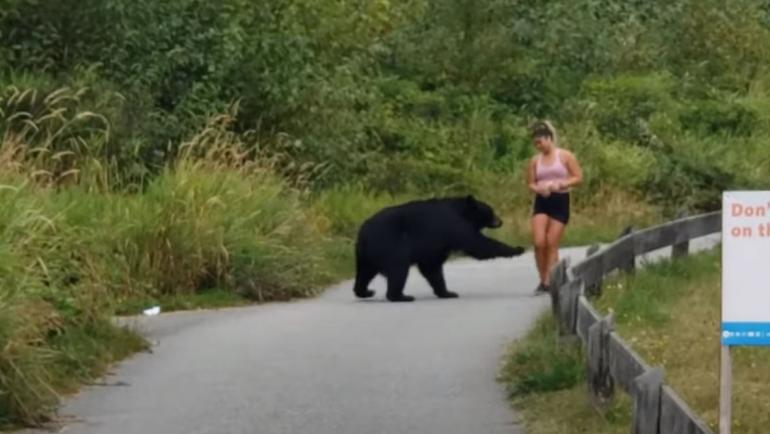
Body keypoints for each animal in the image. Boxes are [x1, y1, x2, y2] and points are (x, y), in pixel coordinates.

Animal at [352, 196, 520, 302]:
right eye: (491, 211)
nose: (500, 221)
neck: (462, 212)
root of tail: (363, 233)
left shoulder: (435, 246)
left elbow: (432, 267)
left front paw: (448, 293)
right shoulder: (455, 227)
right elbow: (478, 244)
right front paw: (517, 249)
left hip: (366, 255)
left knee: (364, 273)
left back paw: (365, 291)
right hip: (391, 246)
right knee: (398, 270)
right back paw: (401, 297)